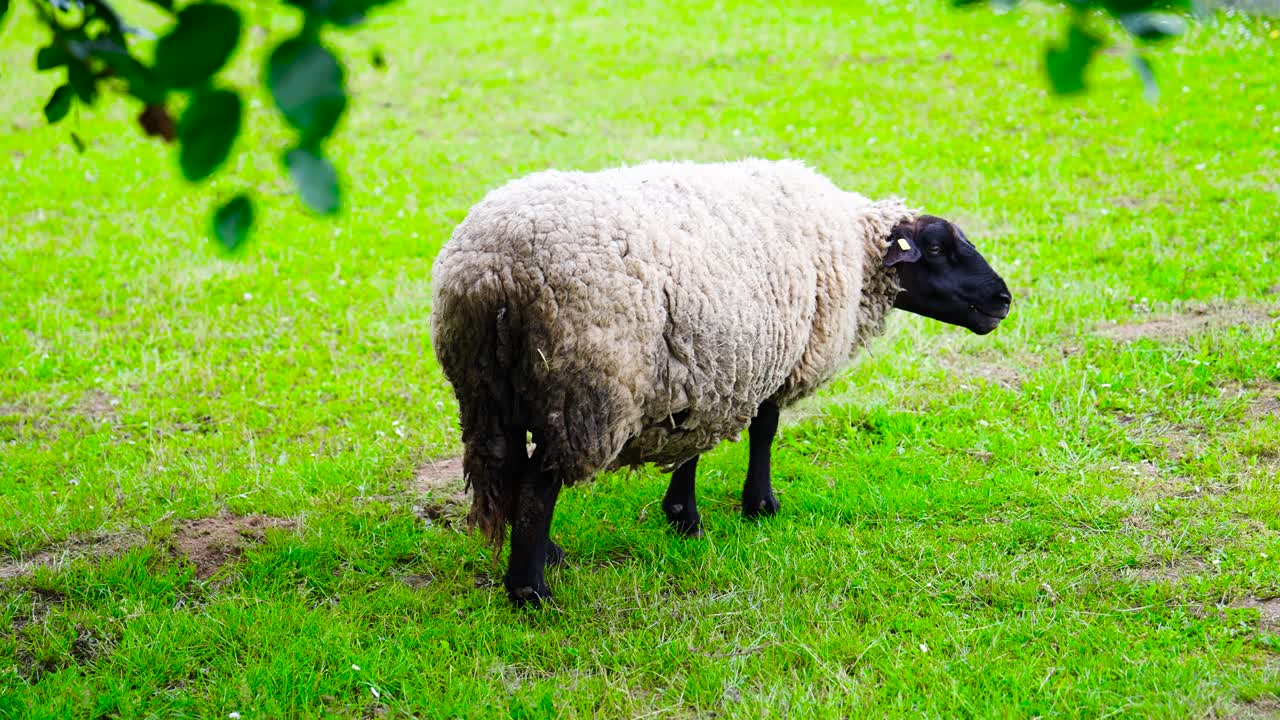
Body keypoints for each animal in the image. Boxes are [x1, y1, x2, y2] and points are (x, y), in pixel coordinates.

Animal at [429, 159, 1012, 606]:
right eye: (935, 249)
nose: (1003, 299)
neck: (853, 246)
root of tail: (491, 274)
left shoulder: (707, 367)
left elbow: (692, 446)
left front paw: (682, 518)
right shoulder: (773, 360)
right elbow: (764, 431)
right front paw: (759, 506)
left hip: (493, 392)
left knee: (519, 474)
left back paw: (544, 554)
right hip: (584, 393)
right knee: (537, 484)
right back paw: (532, 592)